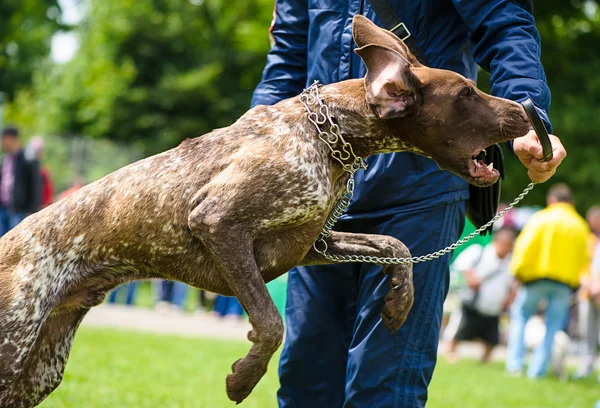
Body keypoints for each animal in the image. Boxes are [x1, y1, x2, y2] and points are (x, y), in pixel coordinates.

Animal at [0, 14, 524, 406]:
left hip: (40, 369)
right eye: (466, 93)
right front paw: (244, 378)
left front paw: (399, 301)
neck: (330, 137)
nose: (524, 110)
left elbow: (395, 244)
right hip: (13, 345)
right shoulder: (220, 224)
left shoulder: (313, 245)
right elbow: (272, 324)